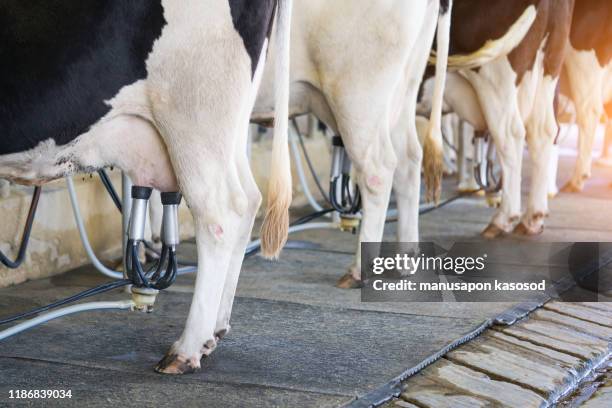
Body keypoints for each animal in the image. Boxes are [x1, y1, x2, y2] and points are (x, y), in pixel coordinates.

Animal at [0, 0, 292, 376]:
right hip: (230, 127)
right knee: (250, 199)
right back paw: (214, 331)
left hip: (195, 114)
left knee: (221, 212)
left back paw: (186, 349)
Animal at [418, 0, 576, 237]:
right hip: (549, 61)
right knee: (543, 131)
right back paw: (532, 218)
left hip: (495, 70)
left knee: (510, 132)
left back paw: (503, 219)